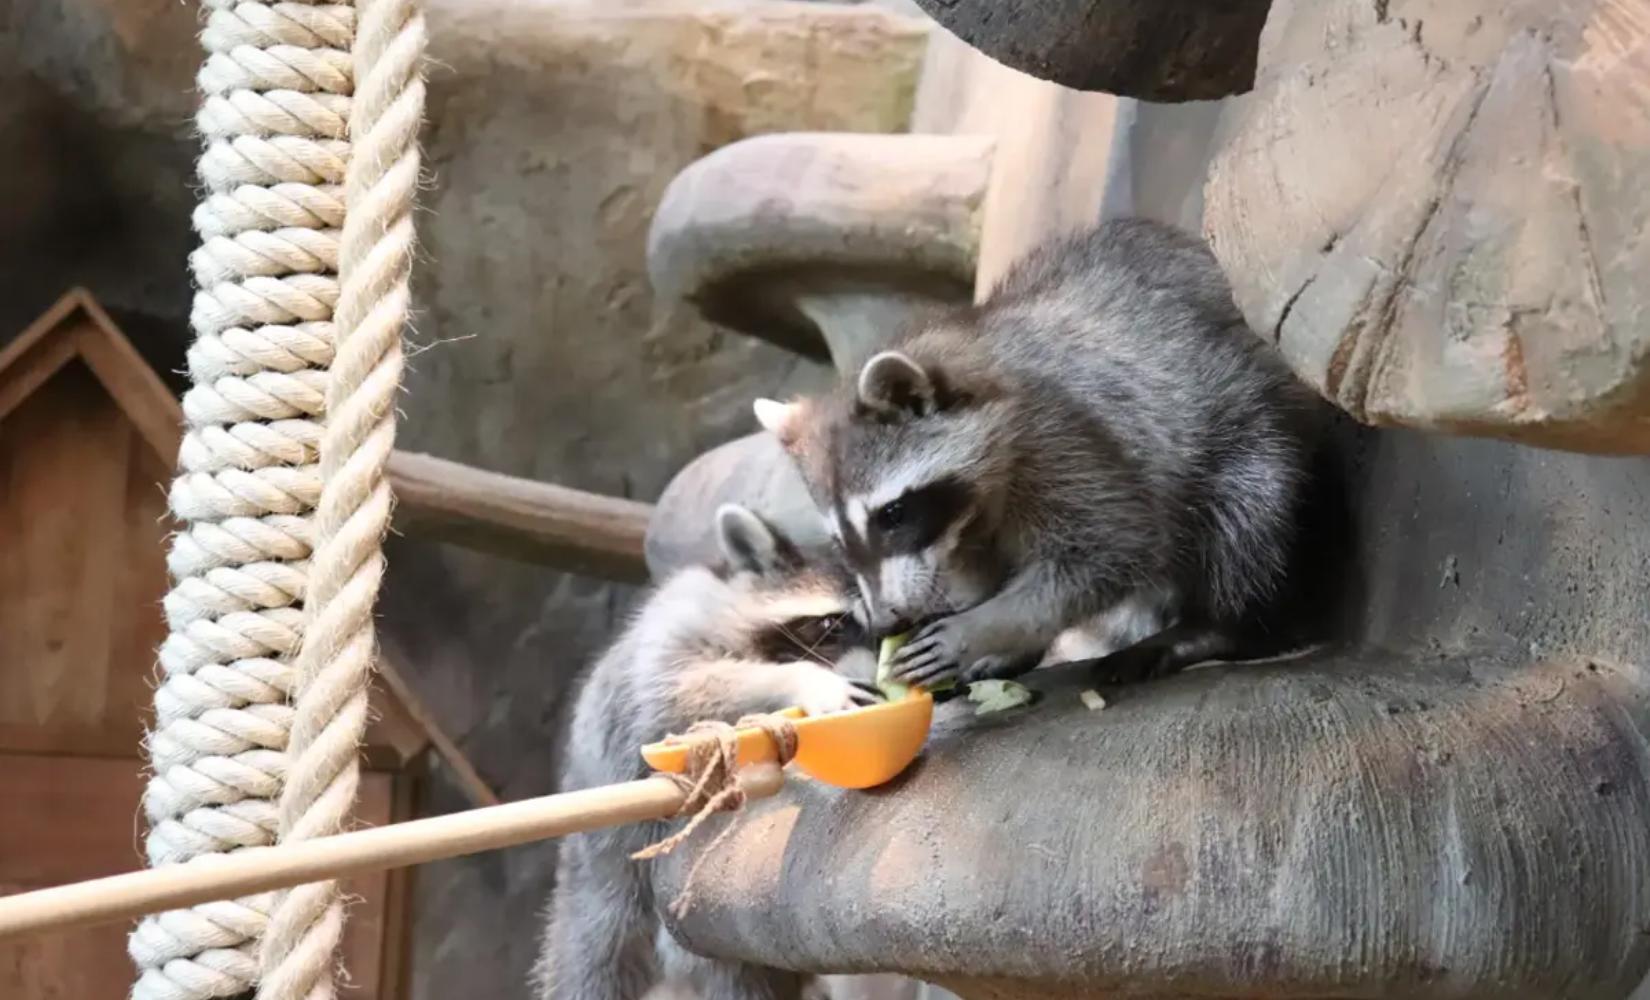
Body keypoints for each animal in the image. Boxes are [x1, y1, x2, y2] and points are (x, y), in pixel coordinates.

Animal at [537, 504, 877, 1000]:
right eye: (832, 625)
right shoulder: (673, 641)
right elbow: (689, 692)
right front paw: (803, 680)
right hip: (607, 874)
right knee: (597, 962)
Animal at [755, 217, 1320, 689]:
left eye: (891, 515)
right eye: (838, 539)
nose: (889, 619)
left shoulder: (1062, 437)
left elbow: (1115, 545)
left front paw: (986, 627)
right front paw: (973, 617)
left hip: (1246, 428)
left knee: (1246, 516)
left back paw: (1216, 626)